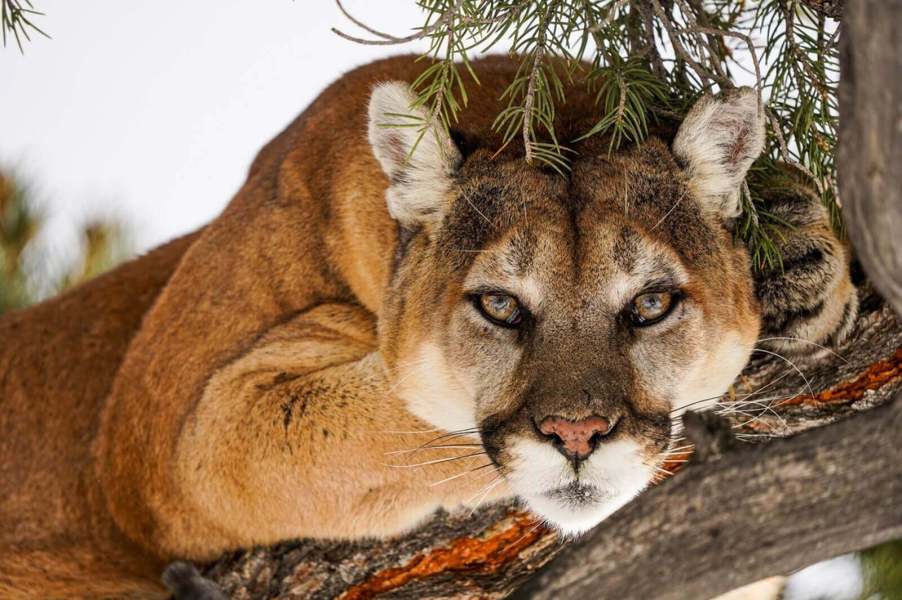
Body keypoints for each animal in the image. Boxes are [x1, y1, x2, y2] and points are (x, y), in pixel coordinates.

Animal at [0, 55, 856, 598]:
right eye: (500, 306)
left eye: (650, 304)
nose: (578, 436)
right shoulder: (167, 437)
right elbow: (399, 417)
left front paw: (802, 253)